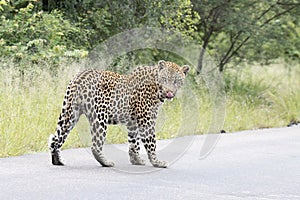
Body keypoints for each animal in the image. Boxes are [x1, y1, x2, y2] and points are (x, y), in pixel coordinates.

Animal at [48, 60, 190, 168]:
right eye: (164, 79)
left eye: (176, 81)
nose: (169, 92)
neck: (157, 88)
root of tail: (79, 77)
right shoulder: (146, 120)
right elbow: (151, 142)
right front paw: (157, 162)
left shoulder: (133, 122)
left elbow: (134, 142)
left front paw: (136, 160)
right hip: (100, 116)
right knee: (95, 145)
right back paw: (106, 162)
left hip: (70, 114)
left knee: (56, 138)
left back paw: (57, 161)